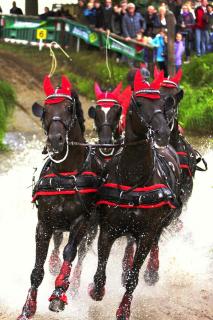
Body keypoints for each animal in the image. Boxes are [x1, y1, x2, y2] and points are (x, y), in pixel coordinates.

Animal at [17, 74, 102, 318]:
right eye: (45, 110)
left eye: (68, 108)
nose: (55, 140)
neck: (66, 174)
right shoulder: (44, 222)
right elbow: (38, 267)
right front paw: (28, 308)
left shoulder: (81, 221)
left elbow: (70, 252)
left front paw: (58, 295)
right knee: (56, 246)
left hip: (92, 228)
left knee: (81, 255)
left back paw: (73, 286)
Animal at [88, 70, 181, 320]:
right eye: (139, 103)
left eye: (163, 103)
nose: (161, 133)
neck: (134, 178)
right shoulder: (108, 228)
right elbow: (100, 270)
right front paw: (95, 290)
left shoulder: (146, 234)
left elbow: (133, 276)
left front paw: (124, 309)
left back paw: (151, 271)